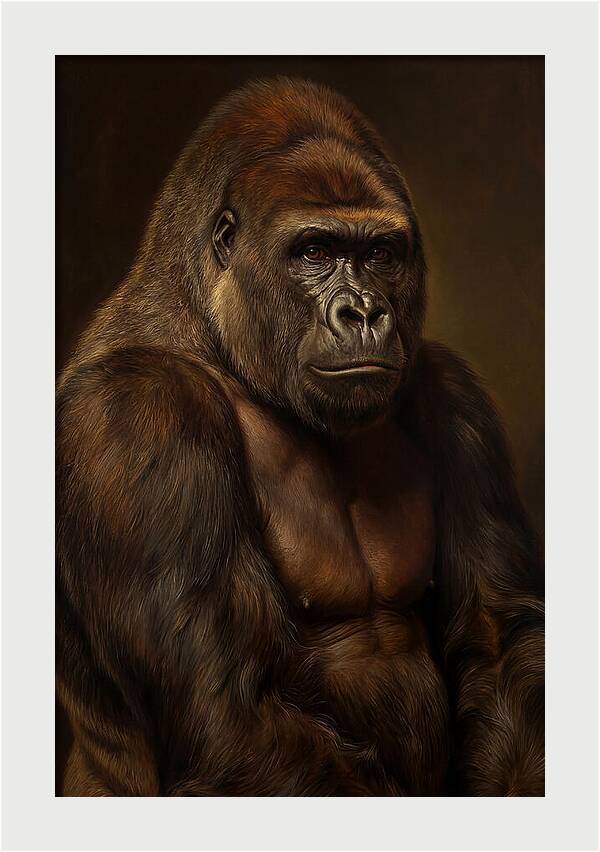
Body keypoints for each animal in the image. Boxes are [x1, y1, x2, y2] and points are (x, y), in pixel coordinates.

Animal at [56, 77, 544, 796]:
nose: (364, 312)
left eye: (379, 254)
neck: (216, 337)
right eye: (313, 252)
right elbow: (226, 713)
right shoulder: (138, 413)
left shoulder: (454, 397)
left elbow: (499, 640)